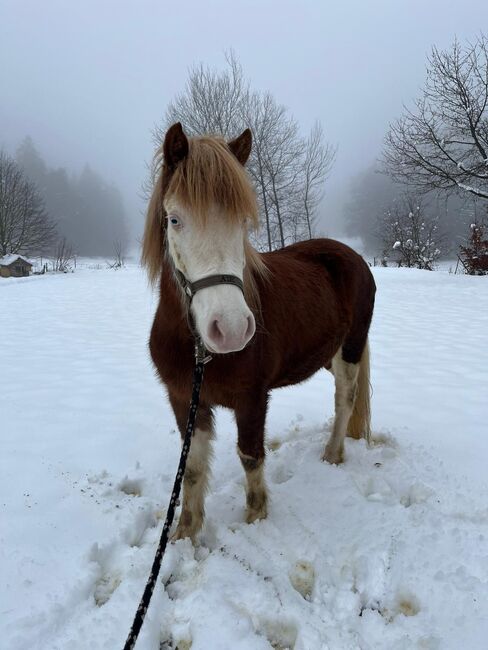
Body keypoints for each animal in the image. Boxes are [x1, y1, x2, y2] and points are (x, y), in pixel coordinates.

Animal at [141, 121, 378, 536]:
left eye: (241, 221)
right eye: (174, 219)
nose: (232, 329)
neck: (196, 349)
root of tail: (353, 256)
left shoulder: (252, 398)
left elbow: (250, 456)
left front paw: (256, 516)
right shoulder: (184, 398)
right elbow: (192, 468)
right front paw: (186, 532)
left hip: (350, 348)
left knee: (345, 398)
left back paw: (332, 454)